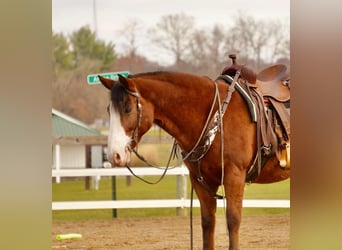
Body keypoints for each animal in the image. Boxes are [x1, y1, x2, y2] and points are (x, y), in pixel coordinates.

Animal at [97, 70, 290, 250]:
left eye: (128, 108)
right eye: (108, 110)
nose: (114, 154)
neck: (216, 115)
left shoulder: (234, 176)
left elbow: (233, 220)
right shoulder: (200, 180)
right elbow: (208, 222)